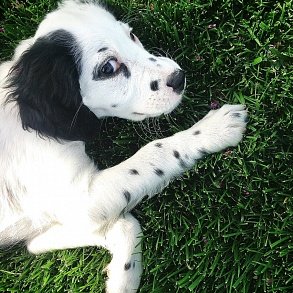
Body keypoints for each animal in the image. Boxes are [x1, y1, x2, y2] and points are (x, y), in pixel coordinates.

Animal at [0, 1, 248, 290]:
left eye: (131, 35)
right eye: (109, 68)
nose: (179, 78)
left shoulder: (48, 227)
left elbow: (124, 225)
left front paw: (122, 278)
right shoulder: (81, 200)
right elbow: (154, 152)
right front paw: (211, 130)